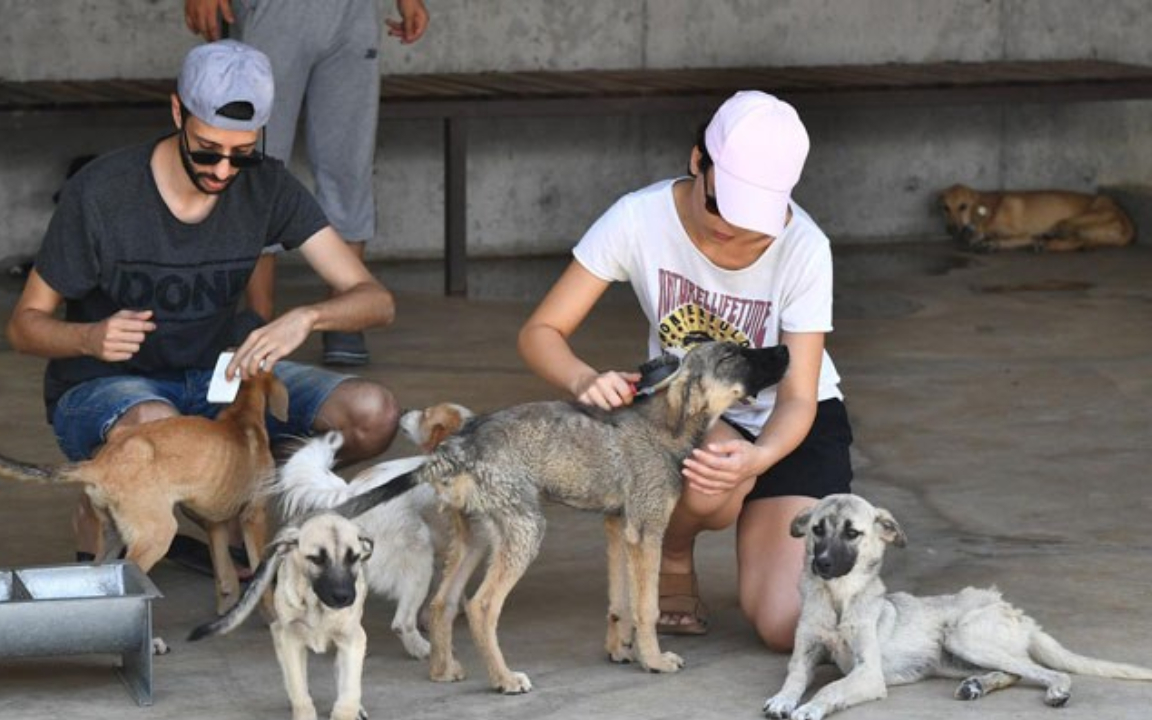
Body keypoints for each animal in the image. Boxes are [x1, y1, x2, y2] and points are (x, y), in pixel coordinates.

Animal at [940, 182, 1138, 252]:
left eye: (963, 206)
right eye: (945, 208)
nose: (950, 230)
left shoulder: (1025, 233)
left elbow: (1013, 238)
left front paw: (992, 243)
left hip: (1066, 222)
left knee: (1074, 238)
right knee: (1079, 242)